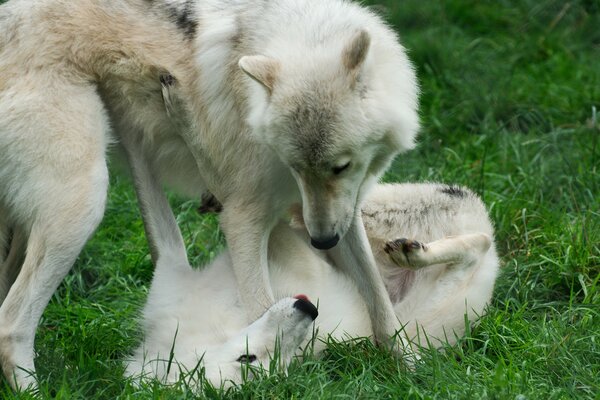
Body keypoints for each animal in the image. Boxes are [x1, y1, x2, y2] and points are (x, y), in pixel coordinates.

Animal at [0, 0, 420, 390]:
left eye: (340, 167)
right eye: (295, 165)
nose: (322, 242)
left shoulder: (341, 213)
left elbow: (379, 302)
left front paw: (410, 369)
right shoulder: (244, 220)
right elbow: (260, 305)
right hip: (83, 207)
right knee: (12, 324)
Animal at [125, 144, 496, 384]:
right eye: (249, 359)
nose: (309, 309)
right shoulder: (171, 268)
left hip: (371, 209)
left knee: (476, 241)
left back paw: (413, 250)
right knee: (476, 245)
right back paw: (413, 253)